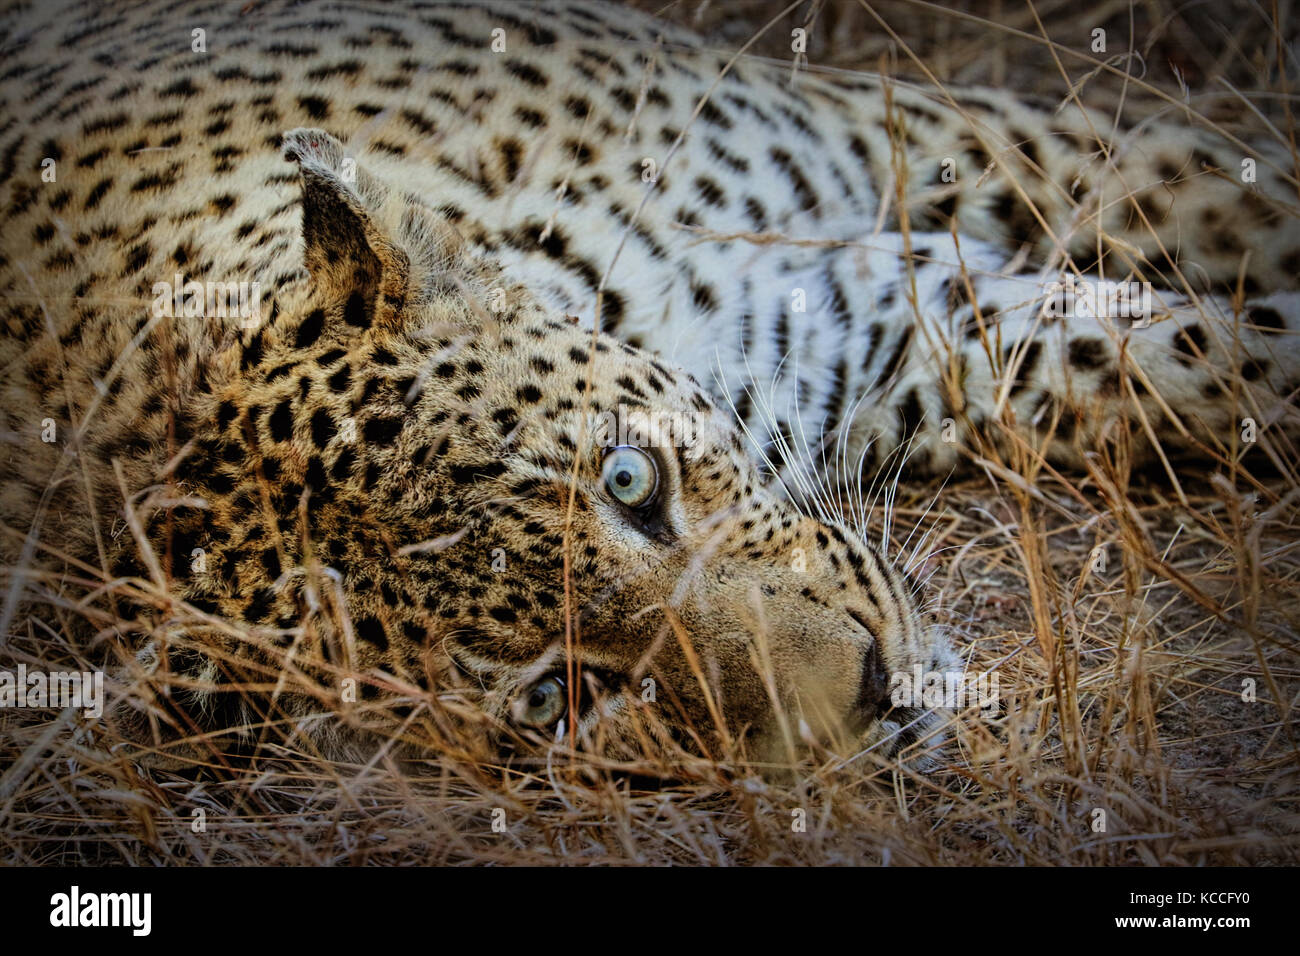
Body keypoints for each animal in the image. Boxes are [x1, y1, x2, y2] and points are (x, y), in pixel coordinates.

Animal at [0, 0, 1294, 770]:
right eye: (561, 692)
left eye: (629, 478)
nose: (875, 692)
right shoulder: (918, 332)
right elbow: (1195, 358)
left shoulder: (925, 145)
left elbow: (1229, 205)